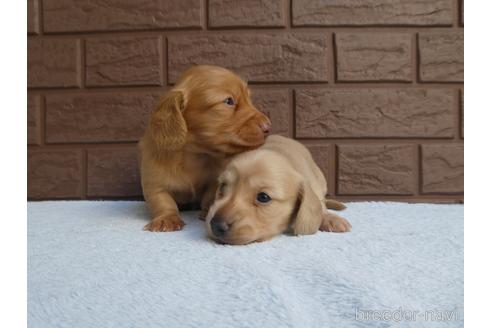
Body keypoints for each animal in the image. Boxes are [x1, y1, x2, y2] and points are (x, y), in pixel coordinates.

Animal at [138, 65, 270, 232]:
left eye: (249, 99)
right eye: (229, 101)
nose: (268, 127)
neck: (194, 153)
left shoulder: (215, 180)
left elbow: (209, 196)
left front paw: (206, 212)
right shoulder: (154, 182)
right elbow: (162, 201)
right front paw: (166, 219)